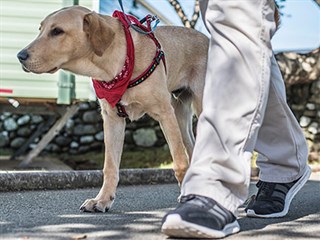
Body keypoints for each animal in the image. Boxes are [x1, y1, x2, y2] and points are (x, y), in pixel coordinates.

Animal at [16, 5, 208, 212]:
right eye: (40, 29)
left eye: (57, 31)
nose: (20, 56)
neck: (116, 66)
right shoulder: (112, 119)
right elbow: (110, 166)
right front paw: (102, 199)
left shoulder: (164, 113)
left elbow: (179, 161)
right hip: (180, 116)